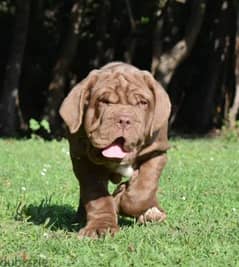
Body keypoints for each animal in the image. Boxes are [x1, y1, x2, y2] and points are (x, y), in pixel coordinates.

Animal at [59, 62, 172, 239]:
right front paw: (101, 227)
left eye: (142, 103)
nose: (124, 119)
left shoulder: (157, 153)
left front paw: (121, 197)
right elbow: (96, 196)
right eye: (103, 101)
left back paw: (152, 212)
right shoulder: (84, 162)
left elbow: (143, 188)